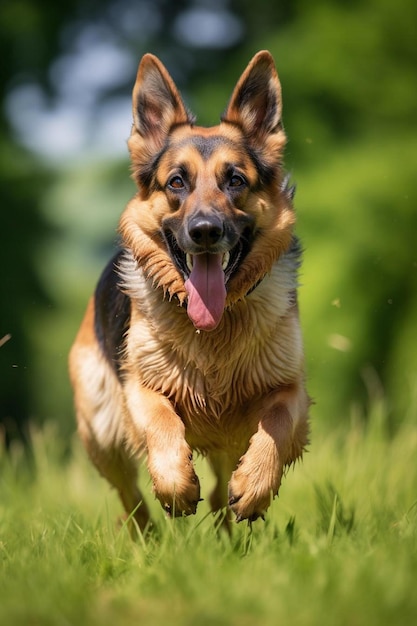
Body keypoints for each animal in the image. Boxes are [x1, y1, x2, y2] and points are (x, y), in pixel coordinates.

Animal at [69, 51, 308, 528]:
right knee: (130, 497)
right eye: (176, 182)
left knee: (218, 493)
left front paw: (256, 486)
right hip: (102, 431)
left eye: (235, 180)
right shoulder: (139, 388)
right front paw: (176, 487)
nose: (205, 231)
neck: (216, 329)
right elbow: (162, 419)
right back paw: (147, 533)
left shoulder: (290, 389)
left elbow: (277, 420)